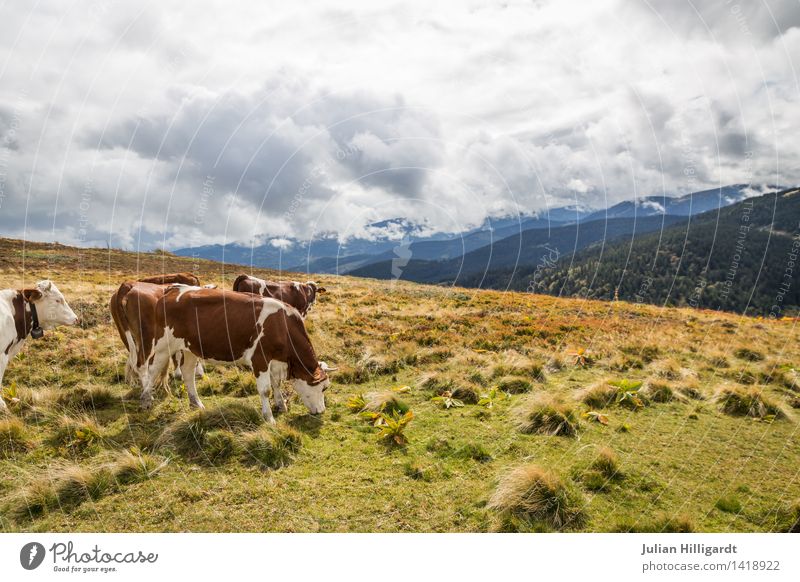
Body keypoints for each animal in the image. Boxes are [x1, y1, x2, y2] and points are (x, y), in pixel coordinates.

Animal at [141, 288, 332, 424]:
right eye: (323, 388)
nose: (322, 411)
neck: (282, 325)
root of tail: (172, 292)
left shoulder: (273, 361)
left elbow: (276, 383)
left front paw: (281, 405)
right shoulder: (259, 359)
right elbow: (266, 390)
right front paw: (269, 418)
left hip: (190, 348)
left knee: (188, 374)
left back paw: (196, 403)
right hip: (163, 345)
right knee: (152, 370)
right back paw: (146, 399)